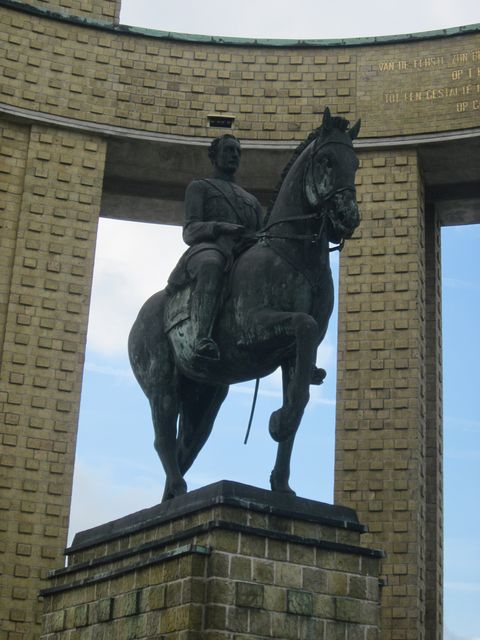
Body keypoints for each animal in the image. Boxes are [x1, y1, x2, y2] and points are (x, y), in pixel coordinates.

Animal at [127, 107, 360, 502]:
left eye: (355, 163)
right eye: (326, 160)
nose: (348, 217)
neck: (292, 253)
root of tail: (139, 320)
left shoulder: (293, 355)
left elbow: (299, 401)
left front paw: (281, 484)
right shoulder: (254, 329)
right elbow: (305, 326)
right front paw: (278, 422)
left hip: (205, 396)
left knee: (186, 443)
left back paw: (173, 498)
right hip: (161, 383)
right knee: (163, 439)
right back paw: (178, 490)